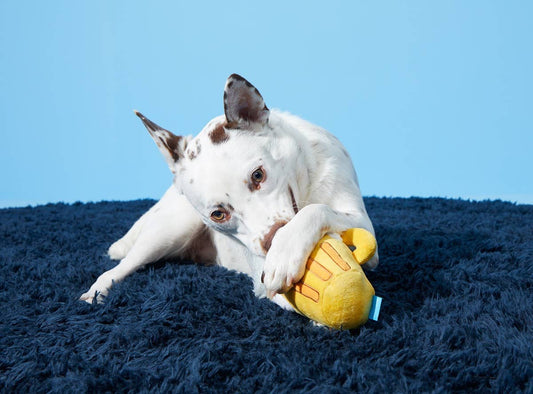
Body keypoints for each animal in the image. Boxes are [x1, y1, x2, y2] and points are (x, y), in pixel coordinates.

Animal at [80, 74, 378, 310]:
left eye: (258, 175)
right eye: (218, 214)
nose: (272, 240)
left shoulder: (364, 228)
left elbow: (318, 209)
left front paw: (286, 248)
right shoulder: (261, 275)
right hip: (170, 231)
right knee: (123, 266)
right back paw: (97, 290)